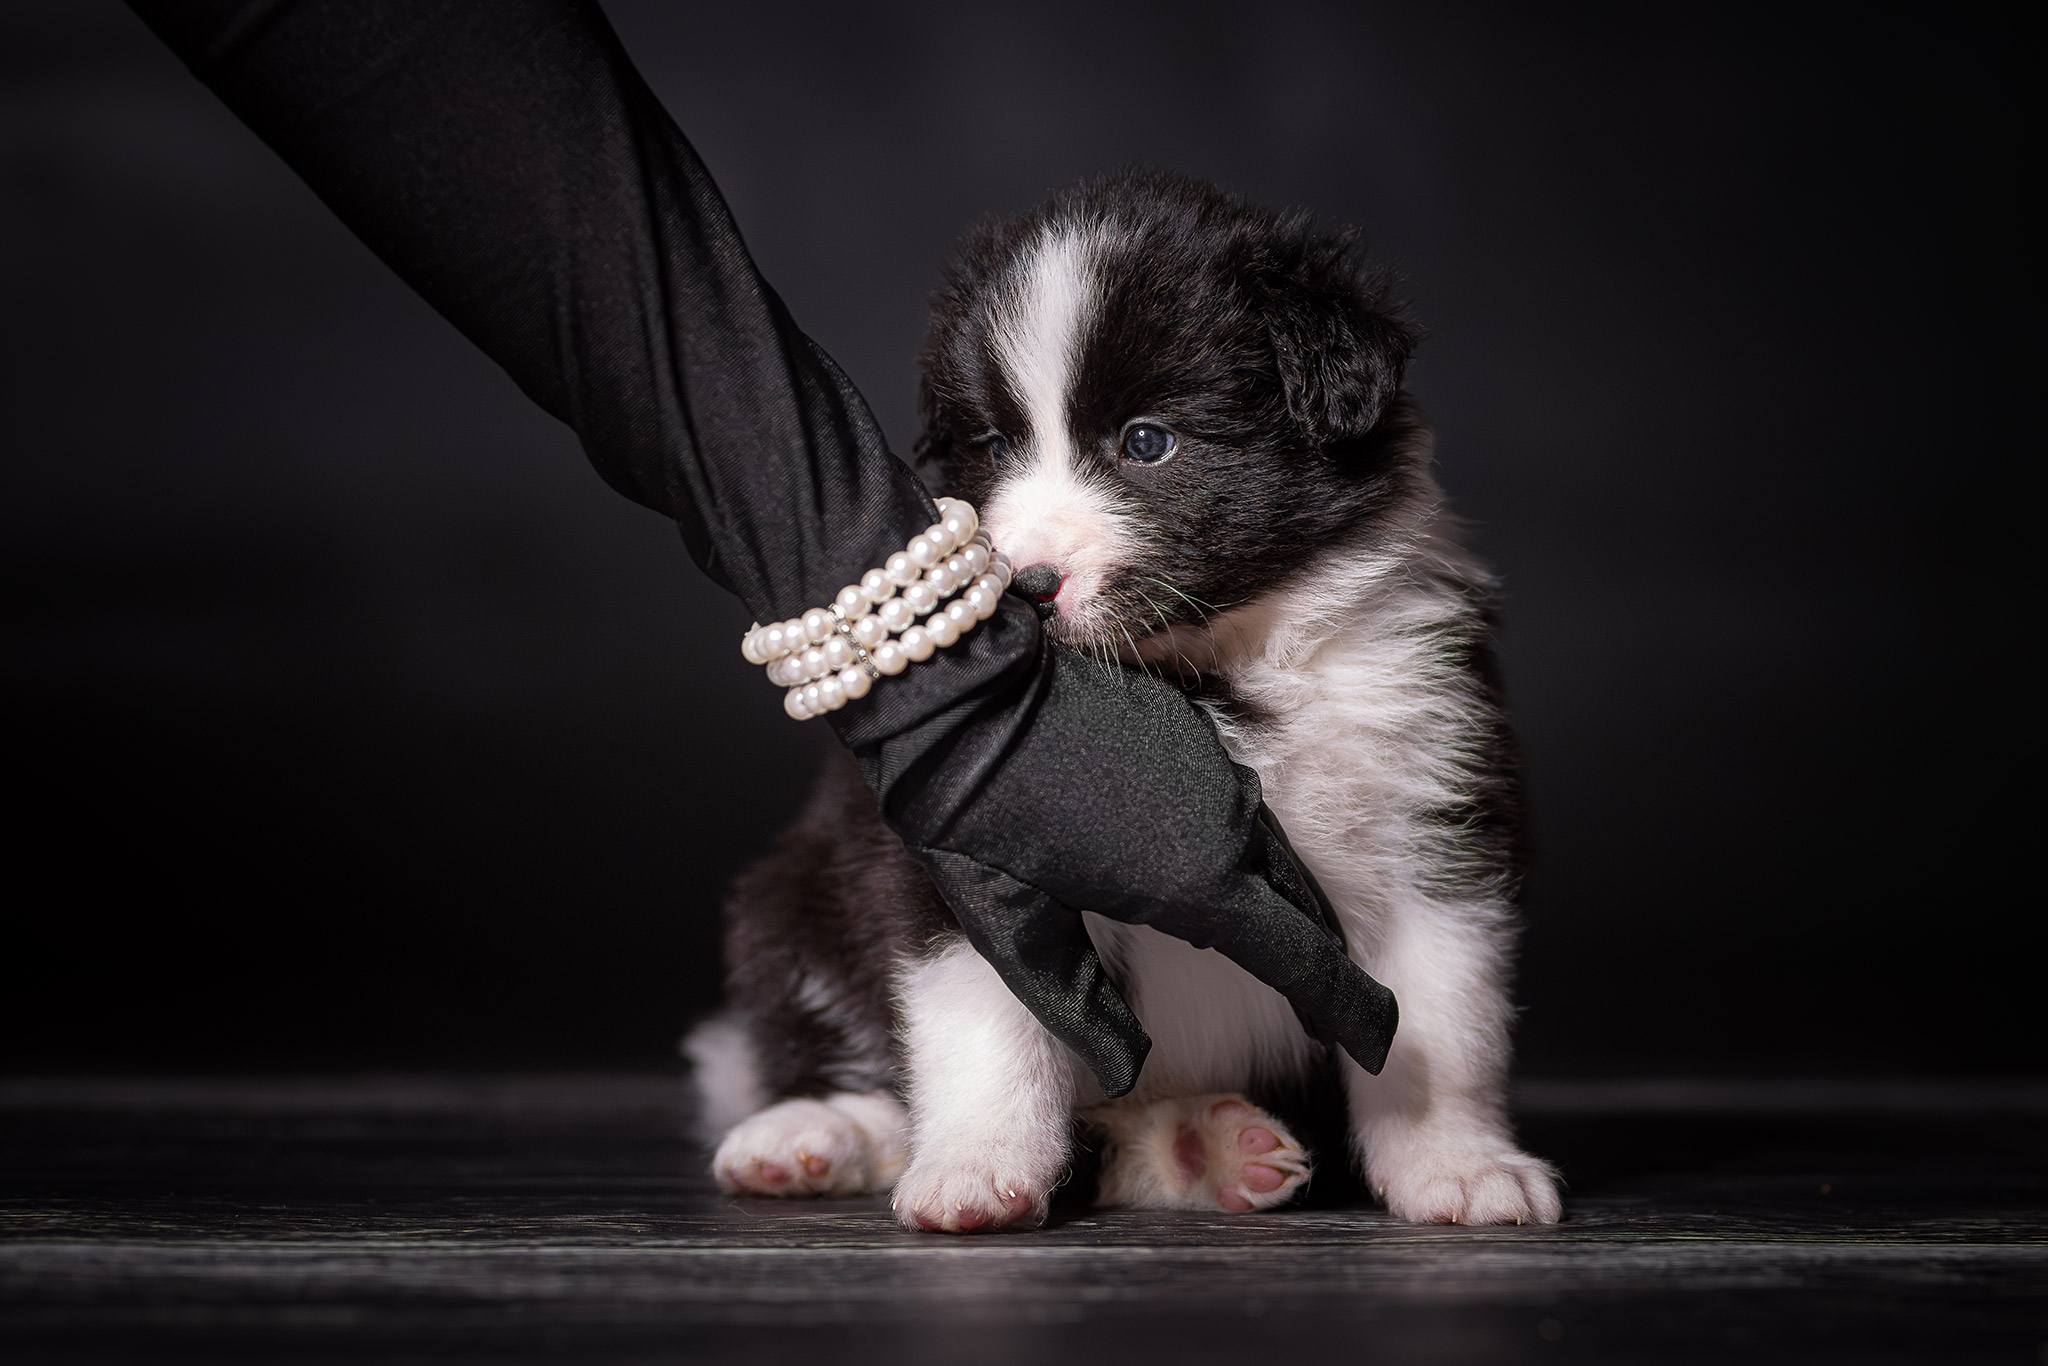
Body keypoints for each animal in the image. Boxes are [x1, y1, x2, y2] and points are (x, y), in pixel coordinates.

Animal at [679, 167, 1556, 1228]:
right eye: (991, 444)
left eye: (1148, 441)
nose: (1024, 585)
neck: (1205, 672)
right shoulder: (968, 832)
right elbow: (986, 1010)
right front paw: (977, 1165)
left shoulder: (1436, 803)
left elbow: (1441, 1015)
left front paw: (1458, 1162)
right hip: (786, 901)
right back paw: (815, 1133)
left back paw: (1197, 1149)